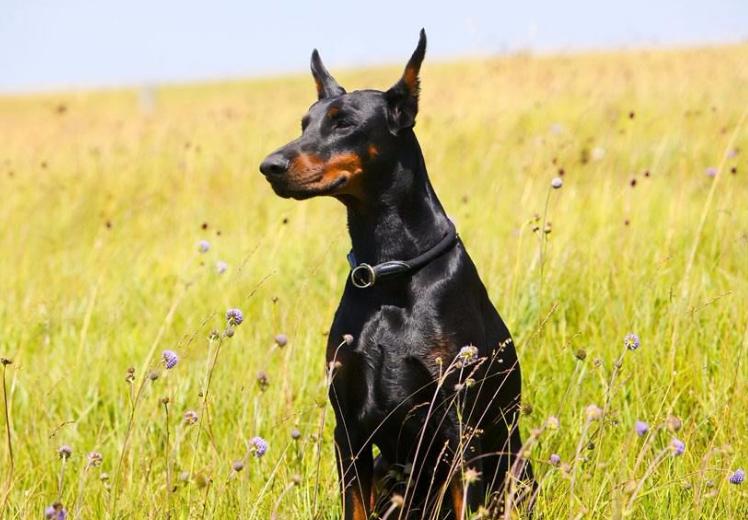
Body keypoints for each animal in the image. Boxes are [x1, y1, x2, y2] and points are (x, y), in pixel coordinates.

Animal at [260, 29, 536, 520]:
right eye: (304, 124)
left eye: (344, 123)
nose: (270, 166)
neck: (388, 273)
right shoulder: (349, 429)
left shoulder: (459, 430)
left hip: (514, 469)